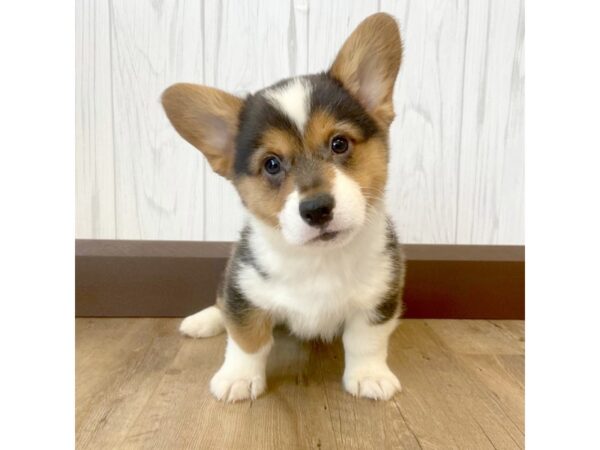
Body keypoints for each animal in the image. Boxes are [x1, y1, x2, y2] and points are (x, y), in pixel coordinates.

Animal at [162, 14, 406, 402]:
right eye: (272, 164)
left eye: (339, 144)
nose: (317, 209)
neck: (317, 260)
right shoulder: (244, 287)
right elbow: (246, 338)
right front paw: (238, 378)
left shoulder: (378, 295)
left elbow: (365, 341)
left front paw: (370, 376)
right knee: (221, 305)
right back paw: (203, 321)